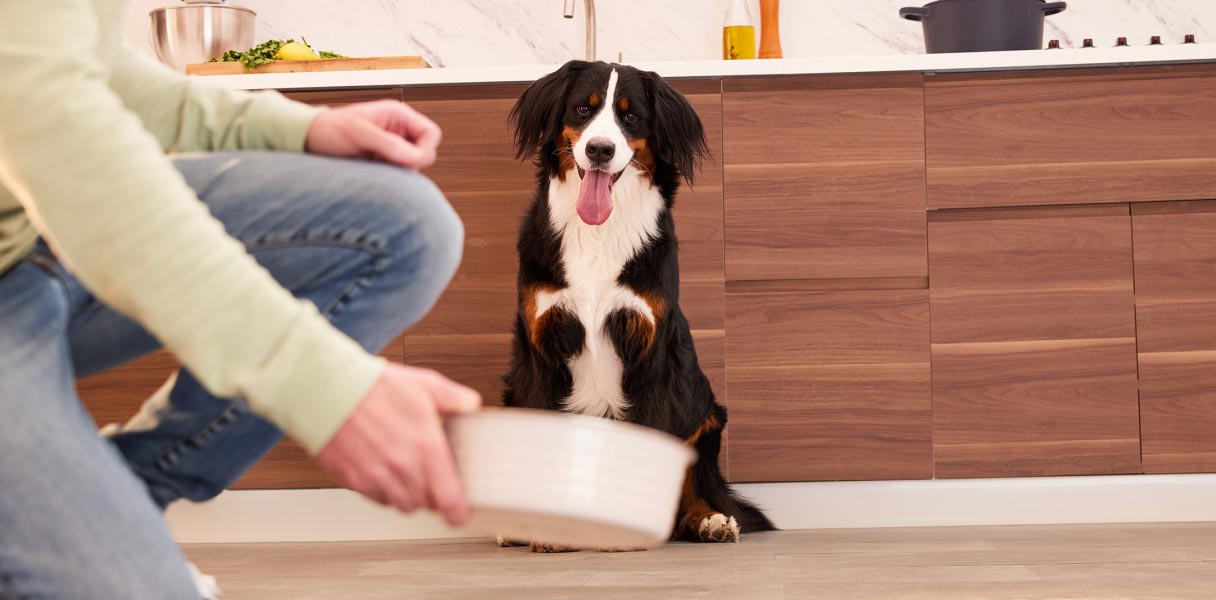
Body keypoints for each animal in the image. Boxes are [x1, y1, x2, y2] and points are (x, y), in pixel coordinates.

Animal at [503, 58, 778, 550]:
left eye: (630, 116)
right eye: (583, 108)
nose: (599, 149)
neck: (598, 233)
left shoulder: (649, 349)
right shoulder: (543, 347)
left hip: (705, 415)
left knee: (695, 495)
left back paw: (712, 522)